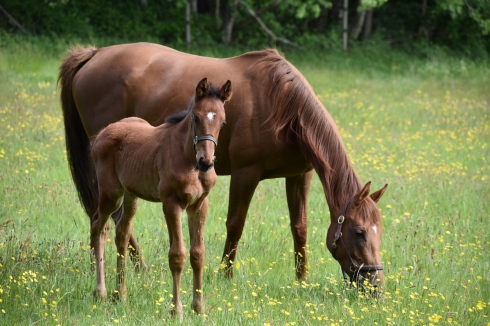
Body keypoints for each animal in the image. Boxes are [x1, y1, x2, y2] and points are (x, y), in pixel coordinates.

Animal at [58, 42, 386, 288]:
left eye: (378, 230)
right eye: (359, 232)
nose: (375, 286)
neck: (282, 106)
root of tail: (94, 54)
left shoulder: (299, 175)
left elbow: (300, 227)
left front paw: (302, 279)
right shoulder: (245, 174)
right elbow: (235, 224)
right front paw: (225, 275)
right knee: (110, 217)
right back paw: (136, 268)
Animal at [89, 77, 232, 316]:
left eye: (222, 122)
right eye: (196, 117)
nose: (206, 161)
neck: (188, 158)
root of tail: (102, 133)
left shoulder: (199, 205)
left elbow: (197, 254)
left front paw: (199, 308)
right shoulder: (171, 204)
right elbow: (177, 255)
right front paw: (176, 310)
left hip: (131, 195)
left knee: (122, 232)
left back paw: (120, 294)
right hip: (111, 193)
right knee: (99, 227)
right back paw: (100, 292)